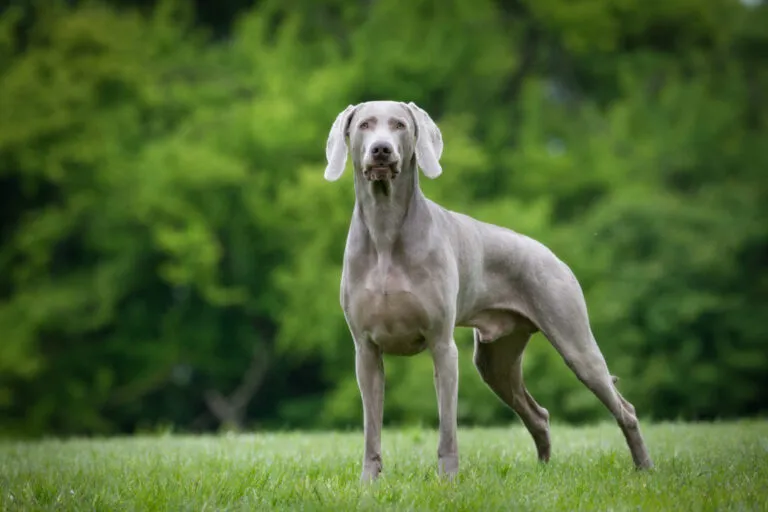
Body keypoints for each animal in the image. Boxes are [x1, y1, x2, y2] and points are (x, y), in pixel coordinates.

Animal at [324, 100, 656, 480]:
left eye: (399, 125)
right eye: (364, 125)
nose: (381, 149)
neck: (385, 230)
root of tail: (552, 255)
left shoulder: (442, 345)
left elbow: (448, 427)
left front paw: (447, 480)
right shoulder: (365, 350)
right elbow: (371, 428)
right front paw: (369, 482)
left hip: (575, 343)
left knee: (624, 409)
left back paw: (645, 467)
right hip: (496, 360)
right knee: (538, 415)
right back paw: (543, 471)